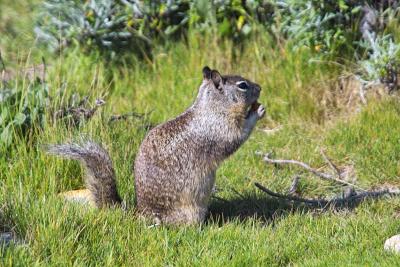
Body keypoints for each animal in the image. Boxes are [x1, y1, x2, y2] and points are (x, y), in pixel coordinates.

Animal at [47, 66, 264, 225]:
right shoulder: (221, 130)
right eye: (243, 85)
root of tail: (141, 214)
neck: (210, 108)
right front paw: (258, 111)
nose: (260, 87)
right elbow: (237, 137)